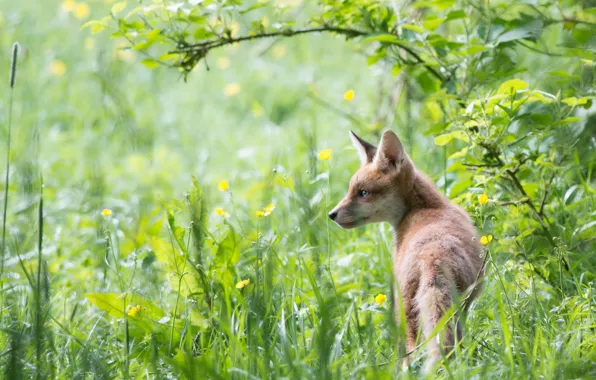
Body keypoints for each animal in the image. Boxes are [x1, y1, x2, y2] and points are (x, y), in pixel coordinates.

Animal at [328, 130, 486, 372]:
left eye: (363, 193)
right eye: (350, 190)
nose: (331, 214)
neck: (428, 207)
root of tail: (433, 257)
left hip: (406, 314)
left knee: (411, 357)